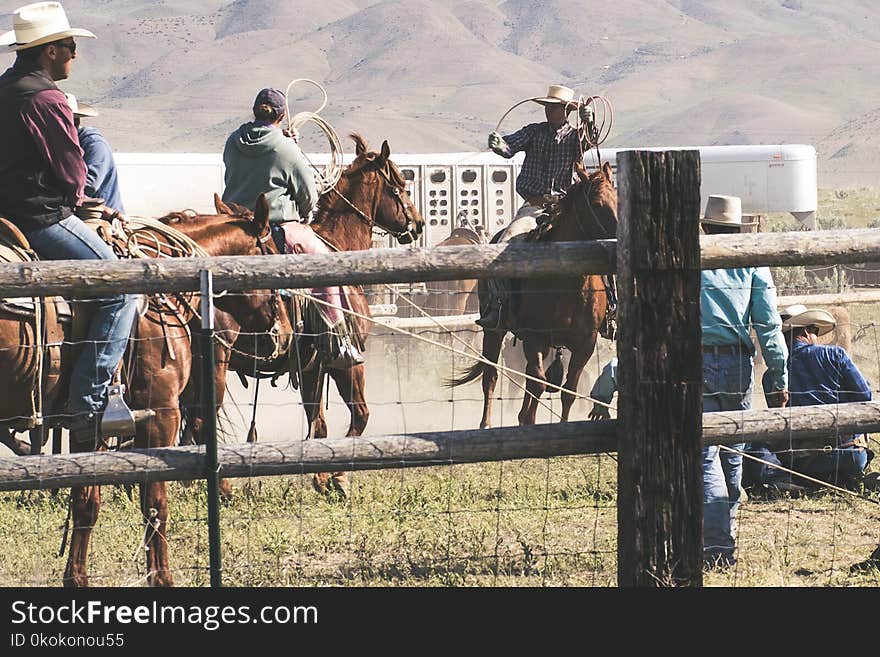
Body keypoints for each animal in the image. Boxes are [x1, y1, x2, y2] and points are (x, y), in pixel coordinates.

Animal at [446, 163, 620, 426]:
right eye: (597, 204)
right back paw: (487, 424)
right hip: (494, 331)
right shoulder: (534, 337)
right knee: (491, 376)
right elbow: (538, 382)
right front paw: (529, 420)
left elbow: (569, 390)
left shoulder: (585, 343)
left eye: (618, 198)